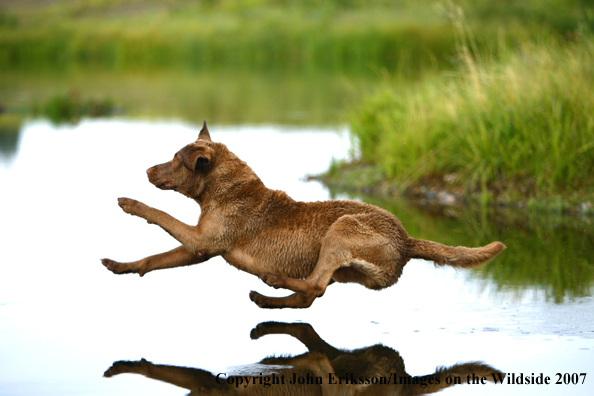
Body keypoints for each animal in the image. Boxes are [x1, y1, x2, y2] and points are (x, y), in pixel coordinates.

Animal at [102, 122, 504, 308]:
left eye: (175, 160)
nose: (147, 170)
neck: (224, 190)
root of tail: (406, 240)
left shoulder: (203, 239)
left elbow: (160, 214)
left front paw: (129, 203)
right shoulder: (201, 248)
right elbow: (154, 258)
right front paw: (120, 266)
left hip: (342, 229)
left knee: (314, 286)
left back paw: (273, 281)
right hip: (348, 268)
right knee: (312, 295)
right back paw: (267, 299)